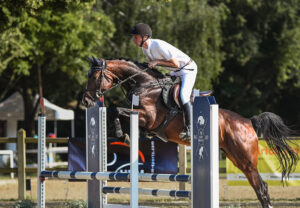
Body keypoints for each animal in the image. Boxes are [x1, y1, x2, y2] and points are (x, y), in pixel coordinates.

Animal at [81, 57, 298, 208]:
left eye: (94, 77)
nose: (86, 101)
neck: (145, 86)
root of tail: (247, 122)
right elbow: (117, 111)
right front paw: (125, 134)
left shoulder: (149, 117)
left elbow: (116, 109)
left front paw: (122, 134)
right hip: (234, 157)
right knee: (260, 187)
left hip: (245, 160)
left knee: (261, 188)